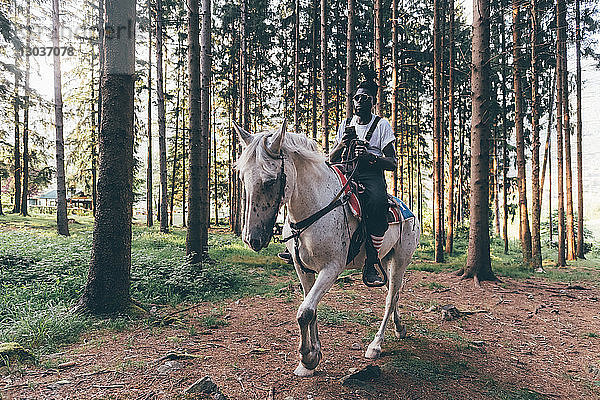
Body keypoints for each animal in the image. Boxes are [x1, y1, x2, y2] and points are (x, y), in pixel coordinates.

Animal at [232, 120, 420, 376]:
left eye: (270, 181)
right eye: (241, 177)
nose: (252, 239)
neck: (314, 209)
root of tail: (408, 211)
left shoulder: (331, 268)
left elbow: (305, 312)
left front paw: (308, 357)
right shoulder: (303, 268)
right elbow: (310, 308)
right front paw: (312, 356)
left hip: (401, 260)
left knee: (391, 298)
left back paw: (376, 345)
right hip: (386, 259)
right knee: (395, 293)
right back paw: (399, 328)